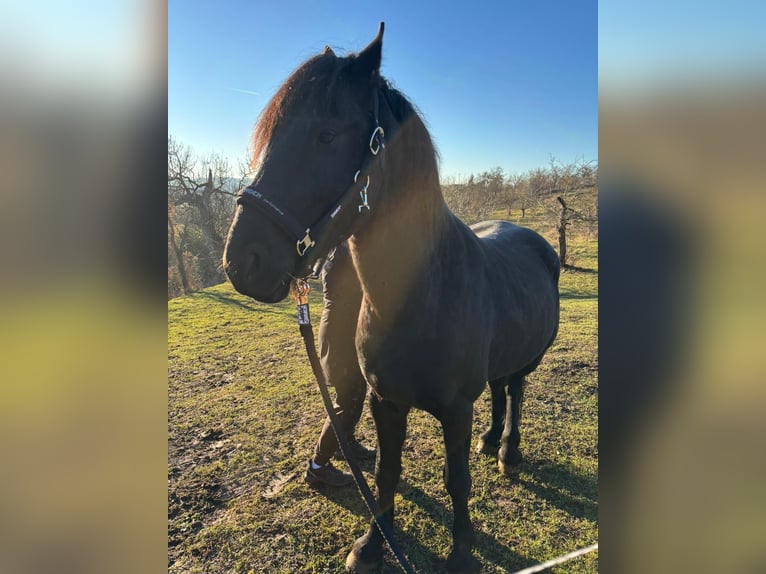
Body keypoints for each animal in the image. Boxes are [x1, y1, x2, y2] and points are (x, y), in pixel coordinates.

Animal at [222, 23, 560, 574]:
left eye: (326, 135)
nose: (241, 261)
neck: (424, 296)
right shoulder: (384, 401)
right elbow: (385, 472)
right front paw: (372, 546)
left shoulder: (454, 410)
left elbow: (456, 480)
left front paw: (461, 552)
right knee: (498, 387)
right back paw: (491, 441)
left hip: (527, 361)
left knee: (514, 391)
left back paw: (508, 451)